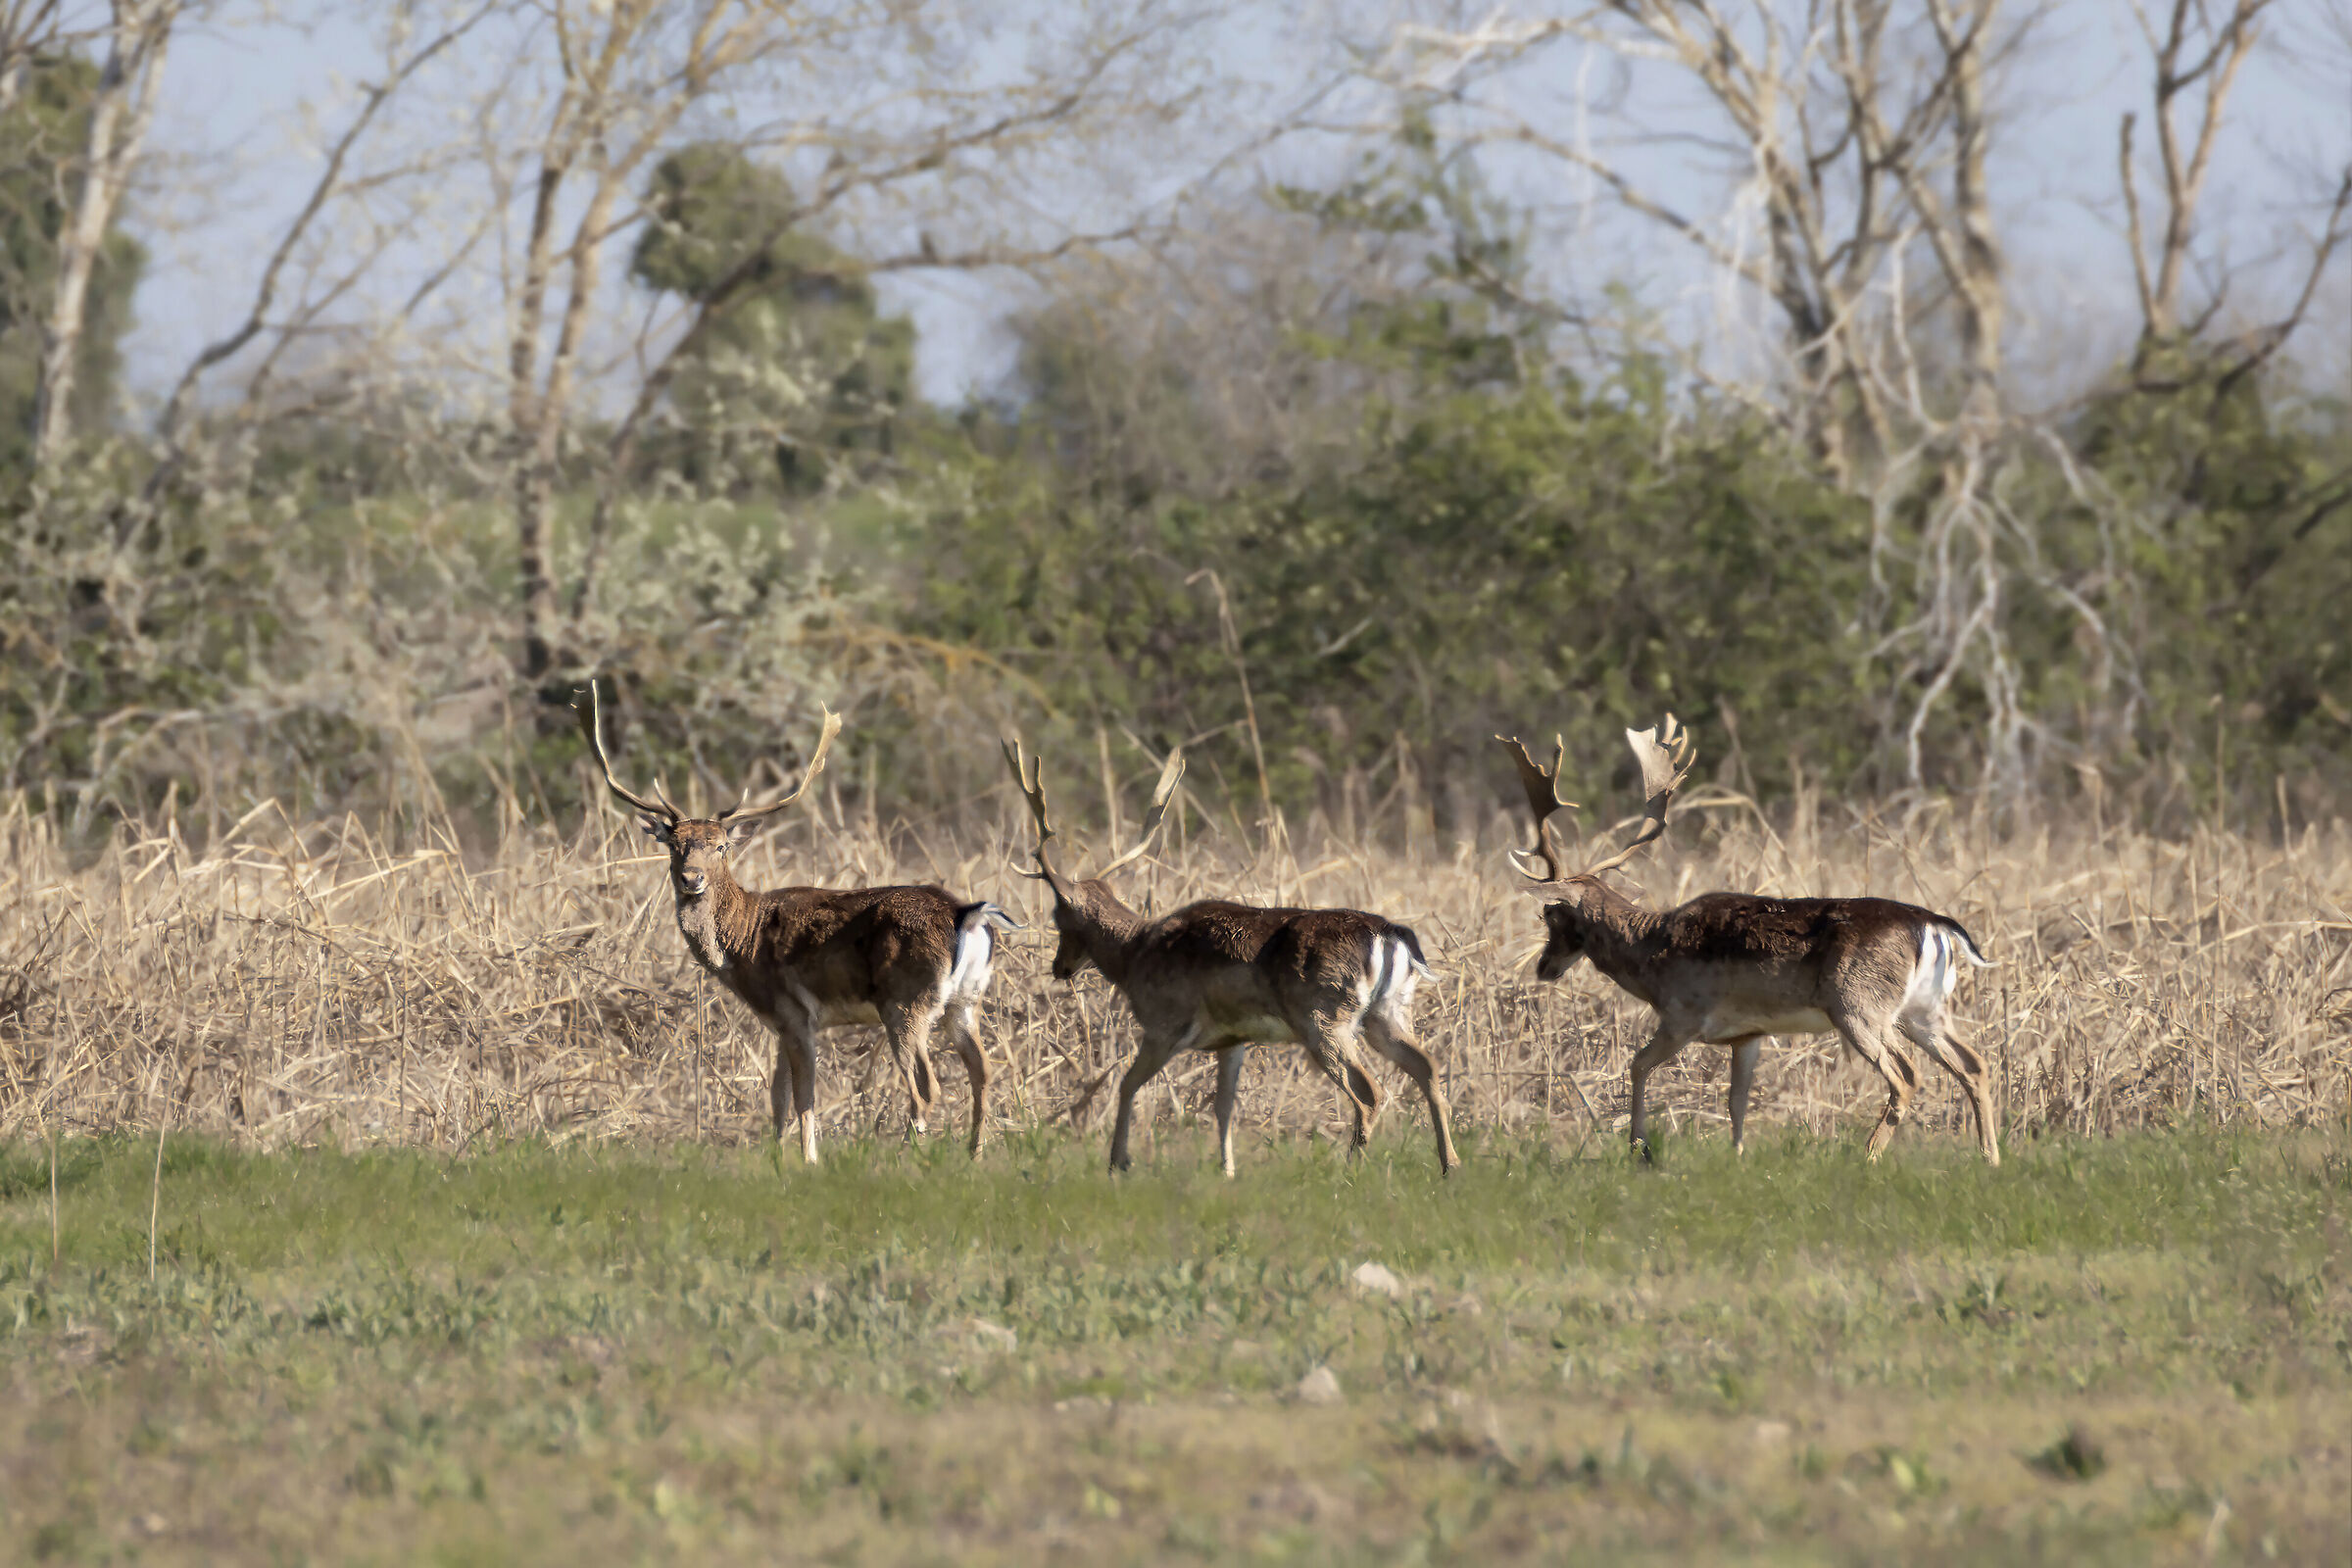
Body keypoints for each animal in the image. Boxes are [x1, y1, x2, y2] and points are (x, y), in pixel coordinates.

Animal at [577, 682, 1014, 1164]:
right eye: (675, 844)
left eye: (720, 846)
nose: (692, 878)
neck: (741, 945)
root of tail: (968, 915)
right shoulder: (780, 1022)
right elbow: (778, 1098)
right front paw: (775, 1160)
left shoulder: (795, 1012)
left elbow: (804, 1098)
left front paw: (808, 1162)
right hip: (966, 1000)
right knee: (983, 1072)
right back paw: (973, 1156)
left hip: (905, 1002)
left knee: (926, 1087)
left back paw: (905, 1157)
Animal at [1002, 738, 1459, 1178]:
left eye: (1057, 918)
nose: (1059, 968)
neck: (1134, 956)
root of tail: (1391, 934)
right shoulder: (1232, 1039)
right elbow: (1224, 1107)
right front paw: (1227, 1170)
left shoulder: (1165, 1022)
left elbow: (1128, 1084)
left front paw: (1118, 1162)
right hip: (1389, 1010)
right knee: (1429, 1069)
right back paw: (1449, 1165)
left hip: (1324, 1015)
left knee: (1371, 1091)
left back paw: (1352, 1168)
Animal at [1501, 716, 2001, 1165]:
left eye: (1550, 913)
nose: (1543, 967)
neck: (1650, 954)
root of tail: (1933, 924)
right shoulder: (1748, 1033)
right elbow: (1736, 1100)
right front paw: (1738, 1159)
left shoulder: (1684, 1014)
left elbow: (1638, 1065)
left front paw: (1639, 1150)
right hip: (1924, 1008)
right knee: (1974, 1064)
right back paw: (1989, 1158)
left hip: (1858, 1005)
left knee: (1907, 1075)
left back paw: (1869, 1156)